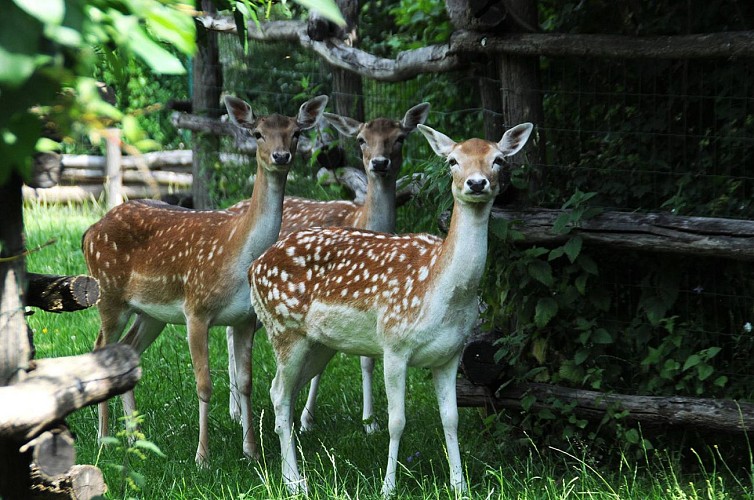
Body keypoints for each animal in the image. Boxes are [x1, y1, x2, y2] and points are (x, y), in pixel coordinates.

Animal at [83, 95, 328, 466]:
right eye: (257, 133)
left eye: (296, 132)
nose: (281, 156)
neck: (238, 256)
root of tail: (89, 232)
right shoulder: (195, 310)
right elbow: (204, 384)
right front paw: (202, 457)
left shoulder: (245, 319)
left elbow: (245, 382)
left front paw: (251, 452)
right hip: (109, 295)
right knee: (100, 348)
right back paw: (103, 437)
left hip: (150, 313)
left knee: (129, 349)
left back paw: (136, 438)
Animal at [225, 101, 428, 434]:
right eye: (361, 139)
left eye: (400, 138)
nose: (379, 163)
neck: (361, 220)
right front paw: (309, 418)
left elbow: (364, 358)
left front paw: (368, 422)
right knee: (231, 334)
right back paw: (235, 411)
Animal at [250, 120, 532, 492]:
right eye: (452, 160)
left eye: (498, 160)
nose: (476, 183)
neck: (440, 292)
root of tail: (254, 267)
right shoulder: (394, 343)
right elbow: (396, 421)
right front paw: (388, 486)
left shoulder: (451, 353)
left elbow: (452, 418)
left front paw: (460, 485)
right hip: (283, 328)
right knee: (279, 395)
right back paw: (296, 482)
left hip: (319, 343)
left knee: (284, 391)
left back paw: (290, 469)